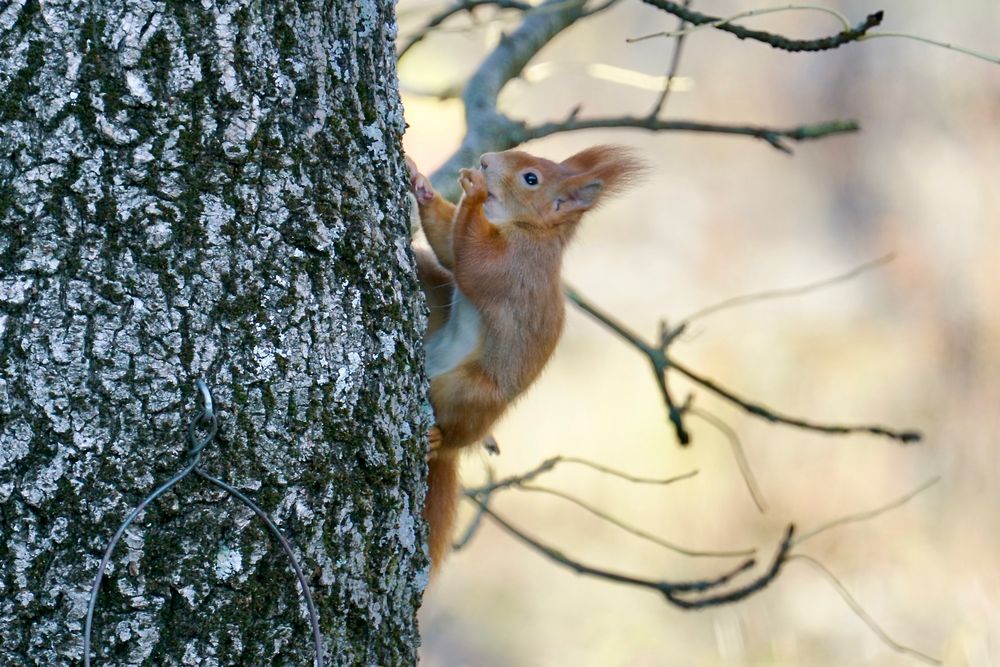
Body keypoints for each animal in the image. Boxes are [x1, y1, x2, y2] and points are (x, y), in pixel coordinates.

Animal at [408, 149, 648, 572]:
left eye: (531, 179)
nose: (485, 161)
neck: (532, 232)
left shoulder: (513, 269)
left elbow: (470, 260)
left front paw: (473, 192)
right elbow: (449, 251)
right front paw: (423, 185)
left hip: (469, 391)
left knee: (456, 431)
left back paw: (439, 438)